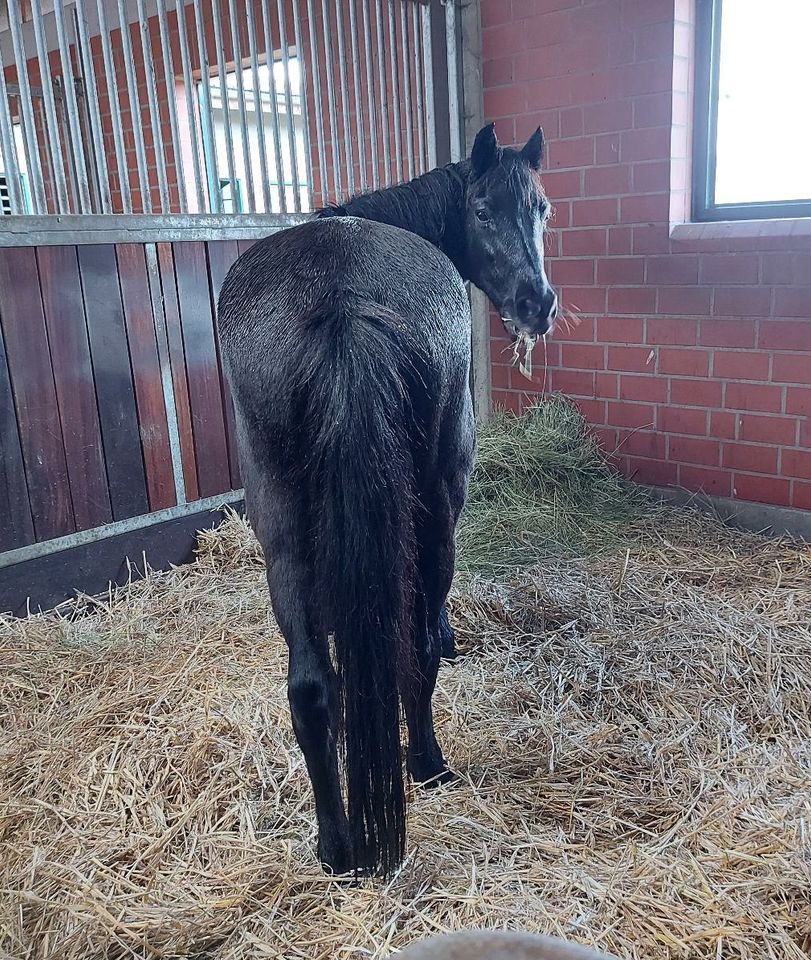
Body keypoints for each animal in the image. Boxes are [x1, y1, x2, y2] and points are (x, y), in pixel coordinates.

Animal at [216, 120, 560, 876]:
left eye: (543, 209)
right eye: (483, 208)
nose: (538, 303)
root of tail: (340, 299)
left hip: (282, 532)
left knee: (312, 688)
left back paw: (337, 846)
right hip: (432, 515)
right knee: (416, 646)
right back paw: (427, 763)